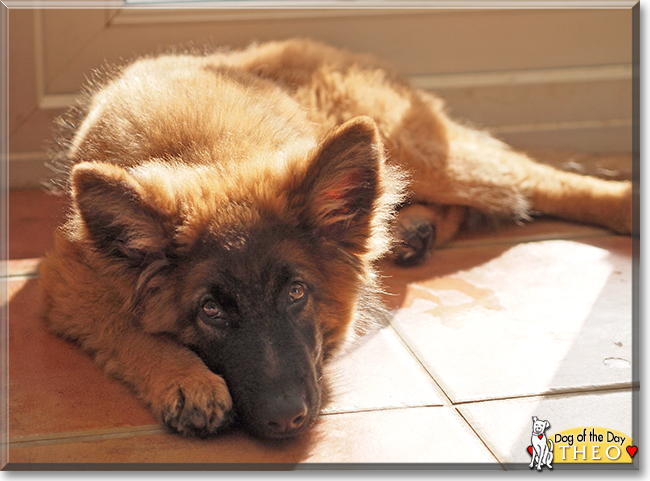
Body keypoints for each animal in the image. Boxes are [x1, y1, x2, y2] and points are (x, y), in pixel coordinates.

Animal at [38, 40, 632, 438]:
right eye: (211, 310)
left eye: (297, 293)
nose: (286, 420)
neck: (213, 154)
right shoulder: (69, 277)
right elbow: (124, 325)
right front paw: (186, 379)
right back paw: (412, 228)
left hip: (425, 154)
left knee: (534, 178)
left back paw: (623, 203)